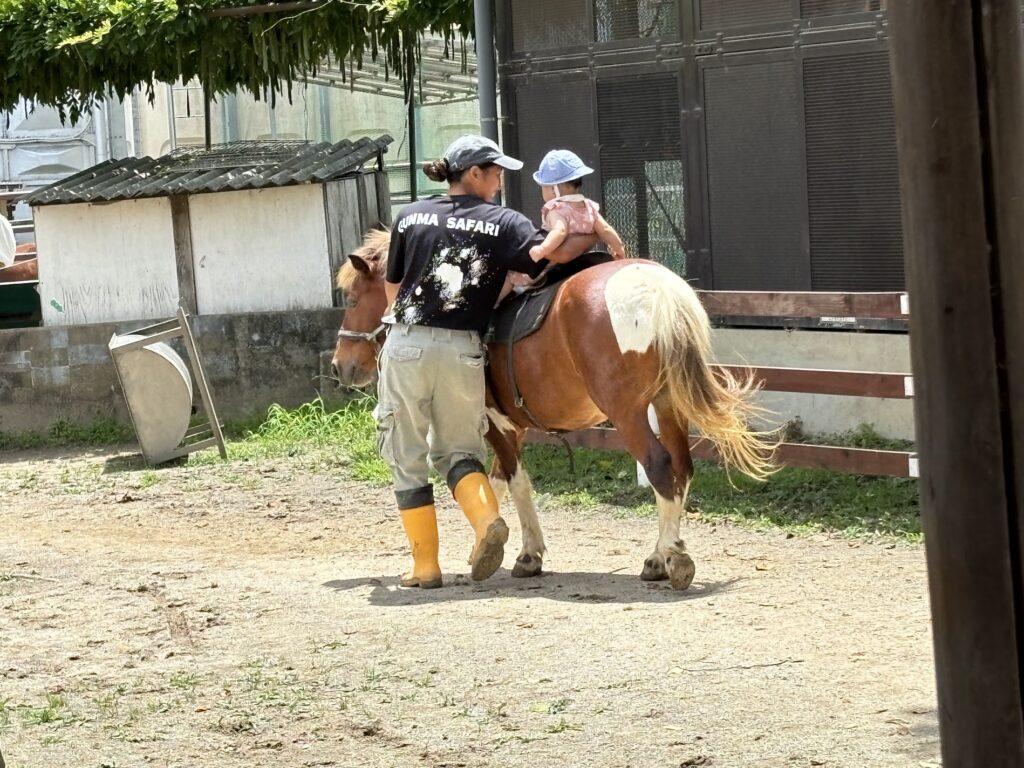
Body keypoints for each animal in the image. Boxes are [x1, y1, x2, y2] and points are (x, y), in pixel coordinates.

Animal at [331, 228, 770, 589]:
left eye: (351, 298)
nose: (340, 366)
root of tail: (656, 287)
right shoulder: (512, 426)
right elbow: (496, 482)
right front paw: (491, 546)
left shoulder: (496, 423)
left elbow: (513, 483)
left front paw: (523, 554)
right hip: (667, 404)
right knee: (682, 467)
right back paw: (660, 554)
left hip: (629, 414)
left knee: (660, 466)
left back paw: (672, 558)